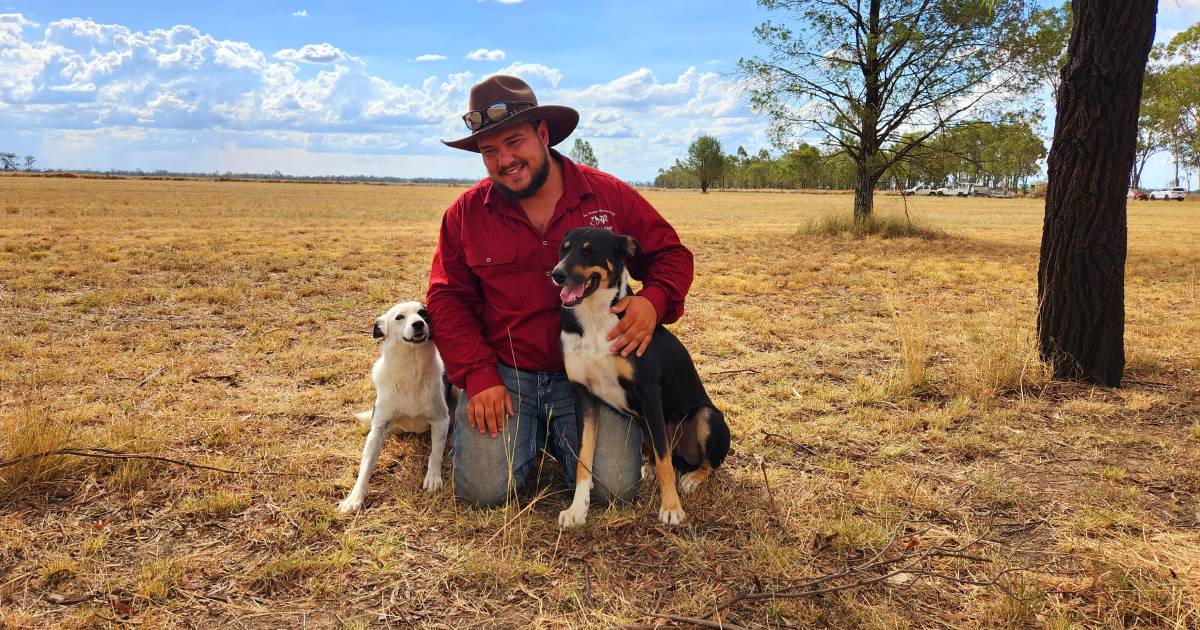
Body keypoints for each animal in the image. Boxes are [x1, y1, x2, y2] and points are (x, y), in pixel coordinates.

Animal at [338, 302, 453, 513]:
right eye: (399, 317)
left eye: (423, 313)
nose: (418, 324)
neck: (411, 370)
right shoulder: (378, 428)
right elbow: (366, 465)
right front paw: (354, 498)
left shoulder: (441, 420)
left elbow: (435, 453)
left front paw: (433, 478)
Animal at [549, 225, 724, 525]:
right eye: (564, 248)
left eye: (589, 250)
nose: (556, 274)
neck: (595, 319)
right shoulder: (583, 396)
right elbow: (584, 458)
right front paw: (577, 509)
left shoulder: (649, 392)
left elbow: (665, 461)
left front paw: (671, 507)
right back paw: (648, 469)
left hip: (707, 416)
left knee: (703, 462)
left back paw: (692, 477)